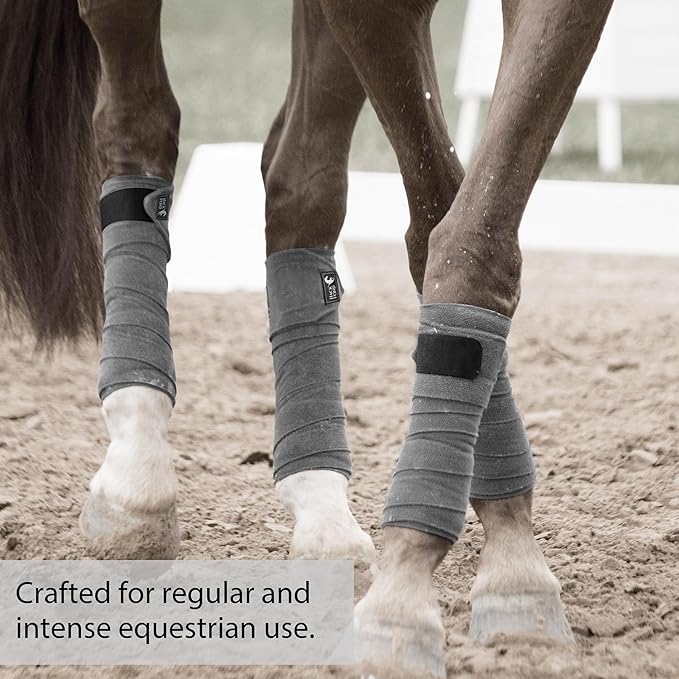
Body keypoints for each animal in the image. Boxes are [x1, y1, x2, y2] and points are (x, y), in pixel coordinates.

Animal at [0, 0, 613, 676]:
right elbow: (439, 221)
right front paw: (405, 598)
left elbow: (472, 237)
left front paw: (511, 560)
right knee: (135, 121)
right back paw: (136, 467)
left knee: (299, 180)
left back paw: (322, 506)